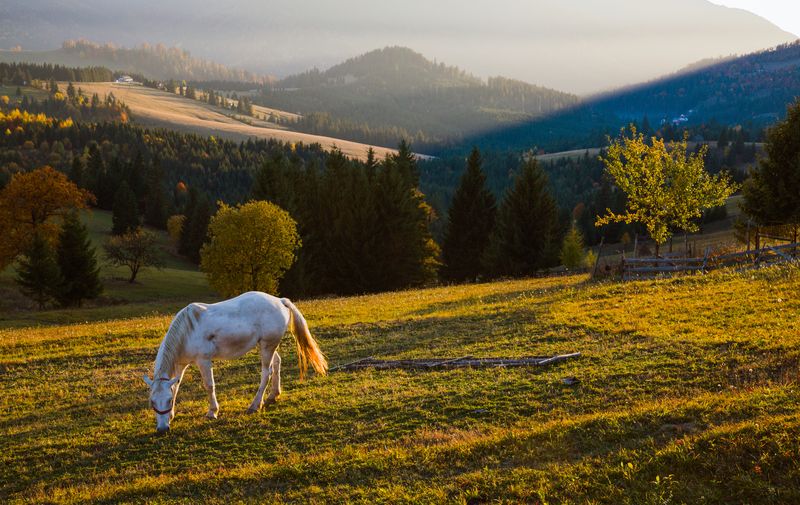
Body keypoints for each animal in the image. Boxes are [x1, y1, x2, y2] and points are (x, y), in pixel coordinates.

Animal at [142, 291, 327, 433]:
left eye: (167, 401)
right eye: (152, 402)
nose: (162, 430)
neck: (187, 331)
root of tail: (280, 301)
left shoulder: (204, 361)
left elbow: (209, 386)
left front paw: (212, 411)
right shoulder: (180, 364)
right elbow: (176, 387)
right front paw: (172, 414)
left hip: (267, 346)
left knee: (266, 373)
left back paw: (254, 405)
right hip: (267, 345)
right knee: (276, 363)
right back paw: (273, 395)